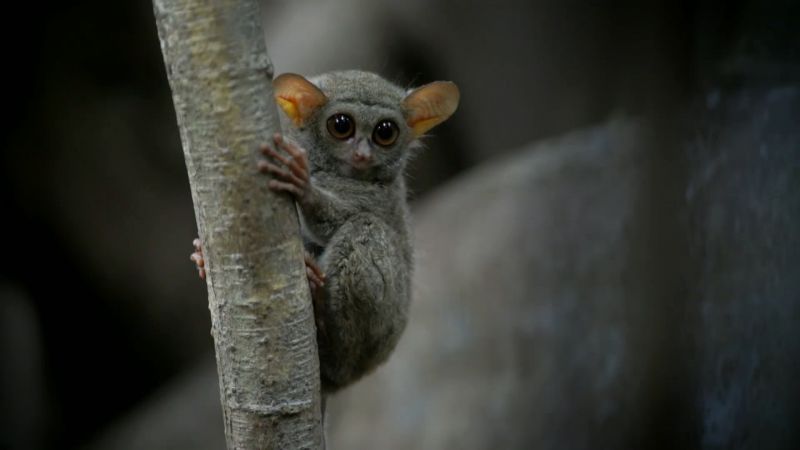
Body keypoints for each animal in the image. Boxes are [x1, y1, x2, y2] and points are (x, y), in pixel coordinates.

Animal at [191, 70, 459, 395]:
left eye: (385, 132)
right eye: (341, 126)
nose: (362, 153)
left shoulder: (379, 197)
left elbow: (340, 219)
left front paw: (303, 184)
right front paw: (201, 256)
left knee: (364, 228)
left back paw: (320, 306)